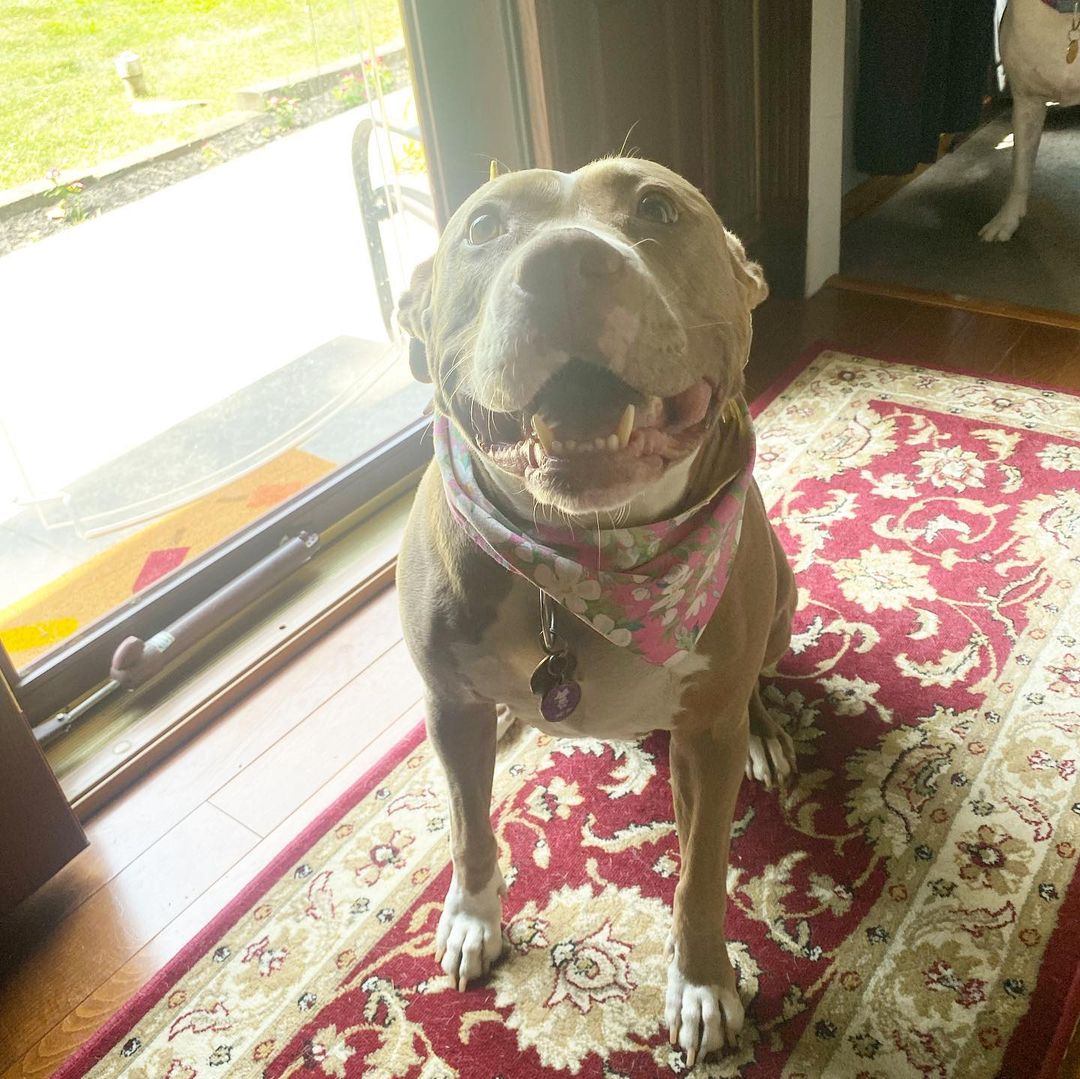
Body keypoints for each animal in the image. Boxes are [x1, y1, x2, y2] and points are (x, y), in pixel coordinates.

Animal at [395, 156, 794, 1067]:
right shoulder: (446, 702)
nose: (565, 264)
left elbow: (700, 871)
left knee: (758, 680)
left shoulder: (704, 737)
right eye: (482, 227)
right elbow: (468, 824)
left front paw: (703, 983)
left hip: (780, 601)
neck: (581, 562)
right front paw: (472, 917)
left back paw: (765, 728)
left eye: (657, 207)